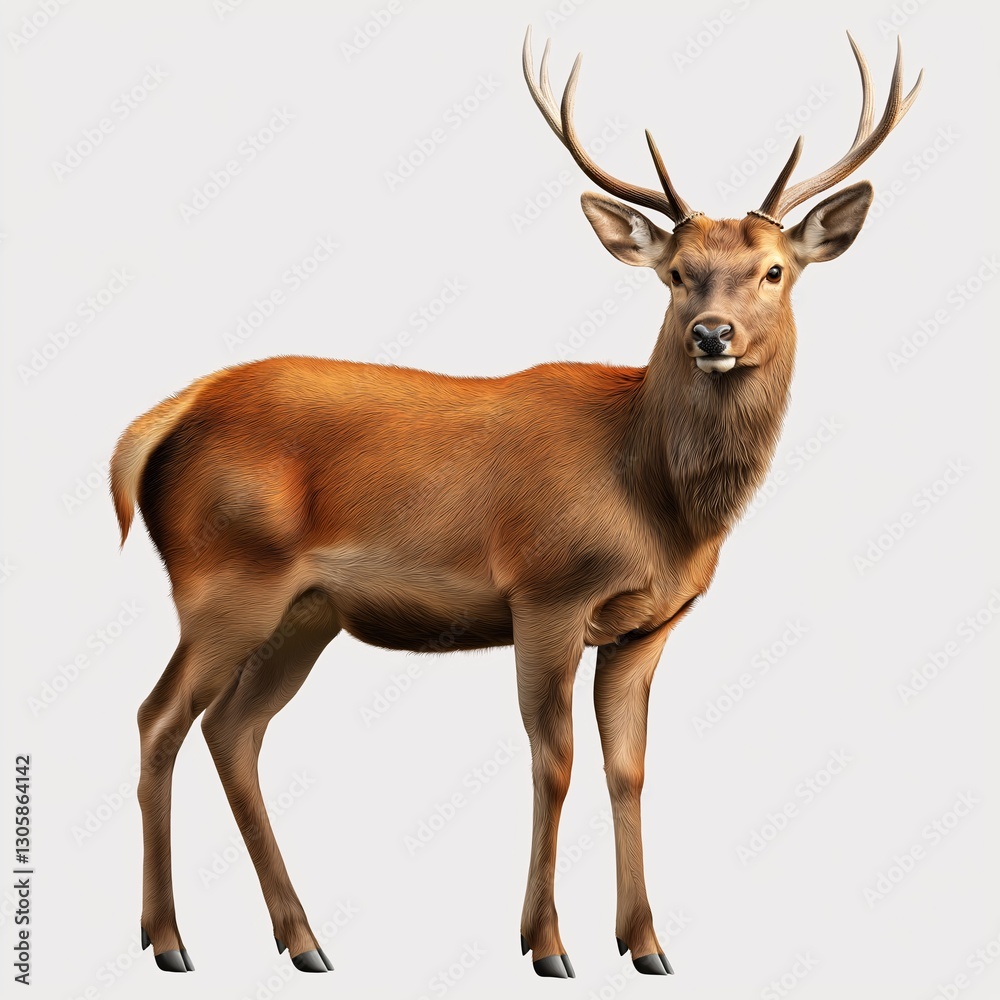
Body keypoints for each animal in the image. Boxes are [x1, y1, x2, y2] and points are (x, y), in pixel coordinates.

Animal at [110, 26, 921, 978]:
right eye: (677, 273)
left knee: (233, 730)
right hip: (223, 580)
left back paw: (303, 939)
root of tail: (159, 422)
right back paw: (168, 939)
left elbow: (628, 768)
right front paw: (547, 945)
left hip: (304, 611)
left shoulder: (647, 625)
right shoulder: (546, 591)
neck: (658, 509)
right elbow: (554, 763)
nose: (711, 335)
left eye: (774, 270)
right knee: (159, 717)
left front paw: (646, 944)